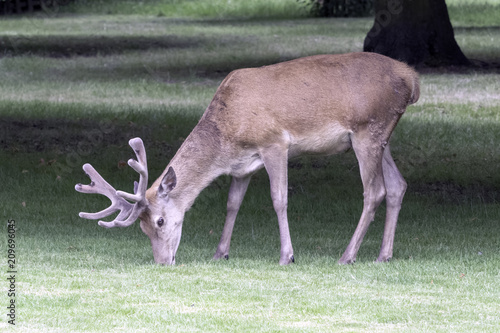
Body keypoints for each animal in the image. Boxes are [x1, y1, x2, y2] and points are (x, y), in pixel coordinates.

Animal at [75, 52, 418, 264]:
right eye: (143, 229)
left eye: (159, 221)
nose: (162, 262)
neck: (228, 135)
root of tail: (412, 79)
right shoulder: (243, 166)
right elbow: (232, 203)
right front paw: (220, 253)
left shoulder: (274, 142)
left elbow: (279, 199)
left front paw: (287, 256)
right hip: (381, 137)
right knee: (398, 185)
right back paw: (383, 255)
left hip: (367, 129)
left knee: (375, 191)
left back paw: (347, 256)